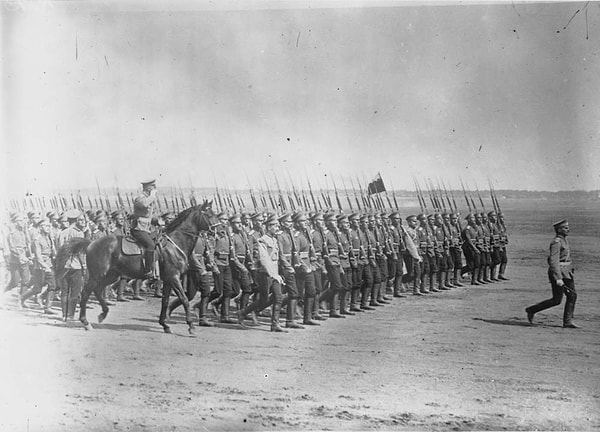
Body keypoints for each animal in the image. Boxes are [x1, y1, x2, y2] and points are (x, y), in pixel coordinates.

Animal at [56, 201, 218, 336]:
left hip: (110, 275)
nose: (219, 231)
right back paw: (86, 322)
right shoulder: (174, 277)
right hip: (98, 275)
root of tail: (91, 243)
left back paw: (103, 313)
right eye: (209, 214)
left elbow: (165, 301)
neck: (175, 243)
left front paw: (165, 324)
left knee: (97, 290)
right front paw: (191, 326)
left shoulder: (167, 280)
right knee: (85, 293)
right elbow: (184, 299)